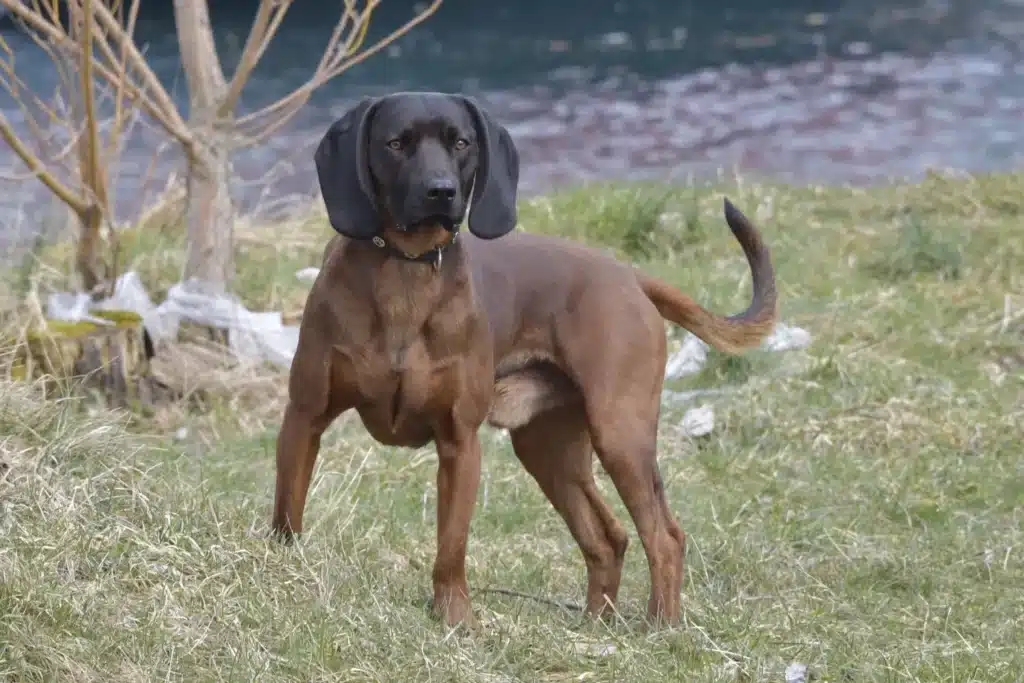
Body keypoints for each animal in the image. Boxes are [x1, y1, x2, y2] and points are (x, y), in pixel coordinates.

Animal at [272, 92, 774, 630]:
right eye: (395, 143)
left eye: (461, 142)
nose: (441, 191)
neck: (406, 271)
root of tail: (631, 276)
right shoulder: (305, 416)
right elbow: (287, 512)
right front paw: (281, 574)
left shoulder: (459, 443)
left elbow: (451, 549)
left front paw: (455, 618)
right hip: (549, 449)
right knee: (608, 538)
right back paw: (596, 624)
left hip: (620, 434)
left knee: (663, 536)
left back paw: (661, 626)